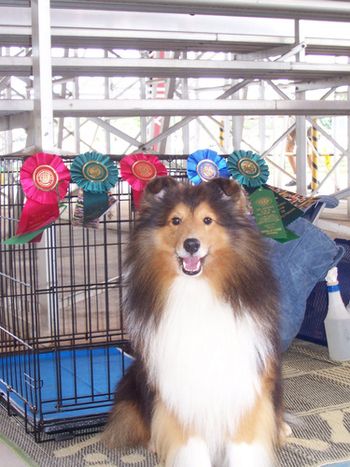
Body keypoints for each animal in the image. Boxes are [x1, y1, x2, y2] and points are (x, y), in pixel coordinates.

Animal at [104, 177, 284, 466]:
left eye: (208, 220)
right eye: (175, 220)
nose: (191, 245)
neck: (197, 288)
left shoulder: (246, 379)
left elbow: (244, 441)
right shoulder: (178, 386)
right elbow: (190, 444)